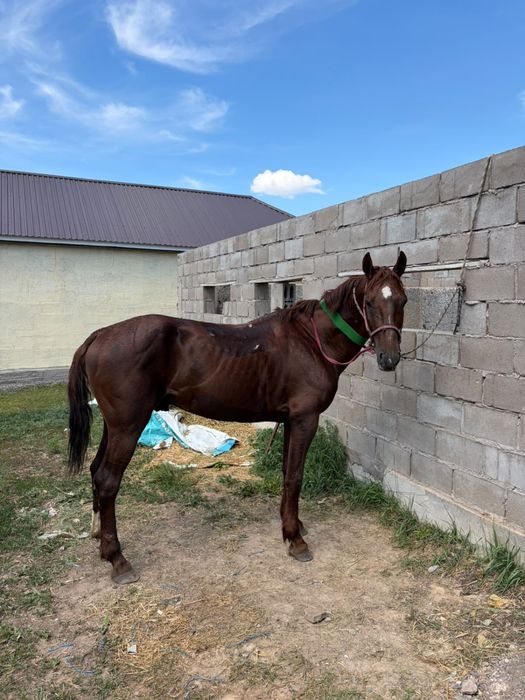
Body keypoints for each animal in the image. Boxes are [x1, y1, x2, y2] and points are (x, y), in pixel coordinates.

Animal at [68, 251, 407, 583]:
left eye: (403, 300)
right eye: (369, 302)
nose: (389, 359)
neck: (311, 341)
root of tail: (100, 335)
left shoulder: (289, 421)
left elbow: (286, 472)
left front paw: (291, 525)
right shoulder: (305, 420)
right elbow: (295, 477)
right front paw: (295, 539)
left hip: (115, 426)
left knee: (96, 471)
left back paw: (99, 537)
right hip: (128, 427)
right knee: (108, 481)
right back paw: (117, 559)